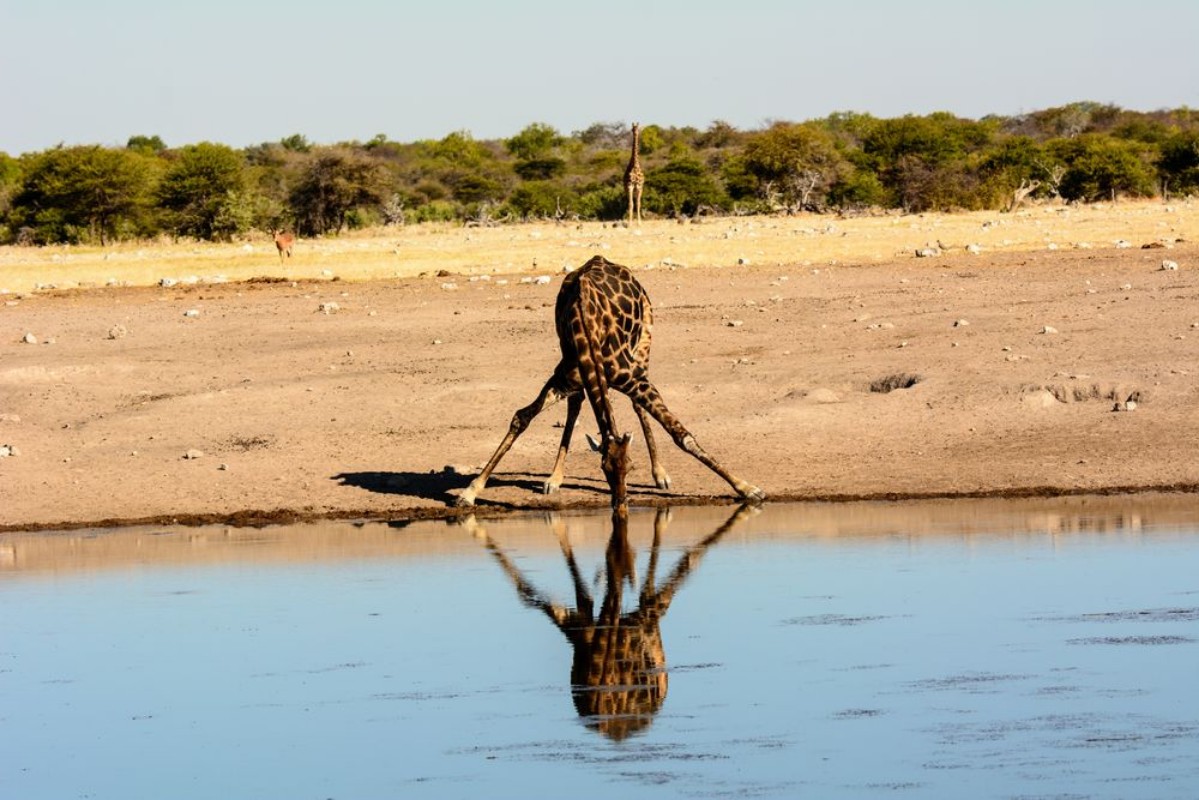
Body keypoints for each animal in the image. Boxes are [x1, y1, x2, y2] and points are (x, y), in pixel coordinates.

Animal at [454, 255, 764, 509]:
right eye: (603, 468)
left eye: (631, 466)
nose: (620, 503)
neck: (586, 324)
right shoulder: (565, 377)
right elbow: (522, 417)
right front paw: (470, 491)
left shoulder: (634, 379)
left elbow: (682, 436)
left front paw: (748, 489)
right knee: (577, 404)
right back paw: (555, 478)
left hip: (644, 342)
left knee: (637, 406)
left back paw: (660, 474)